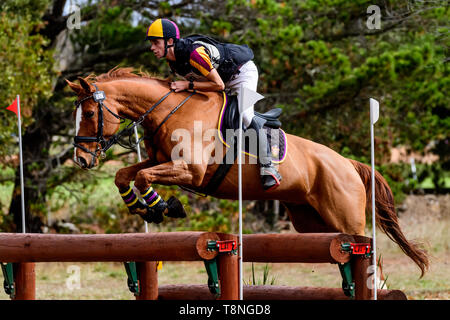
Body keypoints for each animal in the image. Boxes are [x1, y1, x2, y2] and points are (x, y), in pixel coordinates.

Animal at [66, 67, 428, 278]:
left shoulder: (190, 171)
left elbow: (142, 177)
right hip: (314, 223)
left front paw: (162, 208)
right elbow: (125, 175)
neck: (170, 110)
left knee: (370, 258)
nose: (81, 160)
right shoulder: (160, 160)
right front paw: (142, 208)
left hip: (346, 220)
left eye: (89, 113)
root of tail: (349, 164)